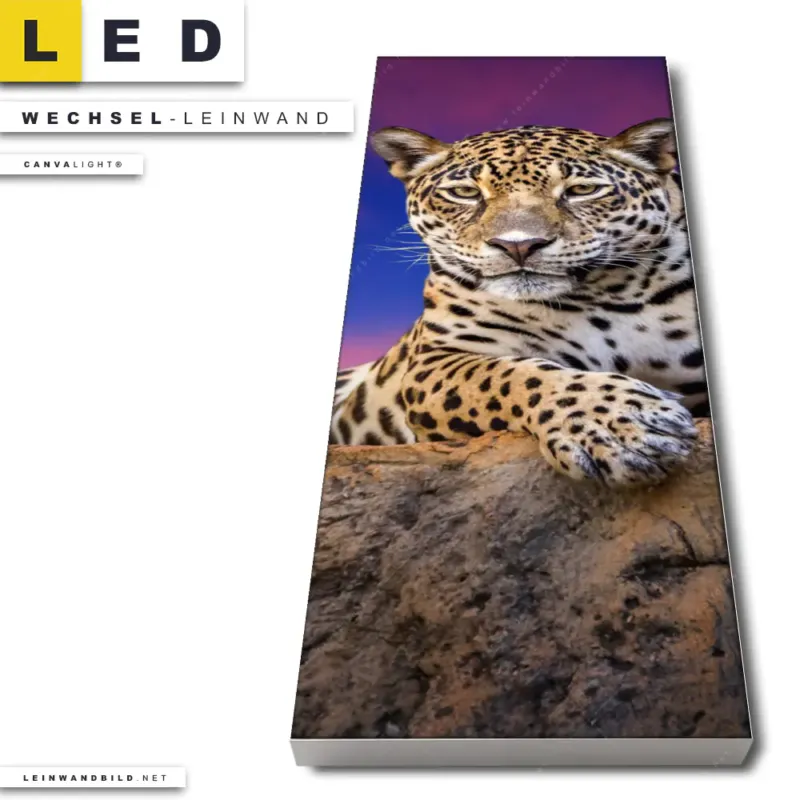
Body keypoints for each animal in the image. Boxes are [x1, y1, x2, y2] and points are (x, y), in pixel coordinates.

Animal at [330, 118, 706, 487]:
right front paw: (619, 426)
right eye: (466, 193)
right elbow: (513, 375)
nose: (518, 245)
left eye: (582, 190)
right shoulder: (434, 361)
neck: (603, 292)